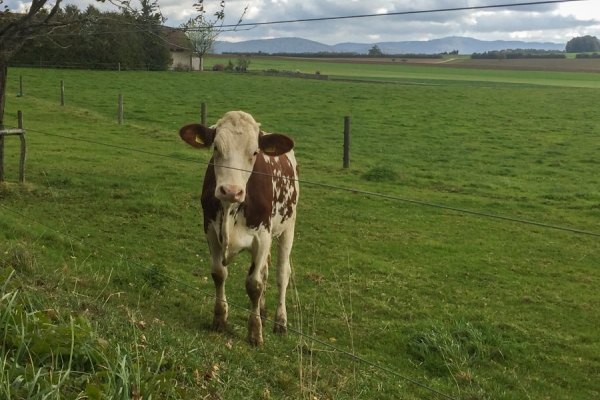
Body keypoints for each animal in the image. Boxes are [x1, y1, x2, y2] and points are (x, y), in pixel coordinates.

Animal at [178, 111, 300, 346]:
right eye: (216, 147)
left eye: (254, 152)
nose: (231, 191)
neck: (230, 208)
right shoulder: (210, 231)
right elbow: (219, 274)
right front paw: (220, 320)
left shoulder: (262, 237)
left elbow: (254, 284)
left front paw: (255, 333)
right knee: (266, 270)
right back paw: (263, 310)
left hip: (288, 225)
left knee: (282, 273)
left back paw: (280, 322)